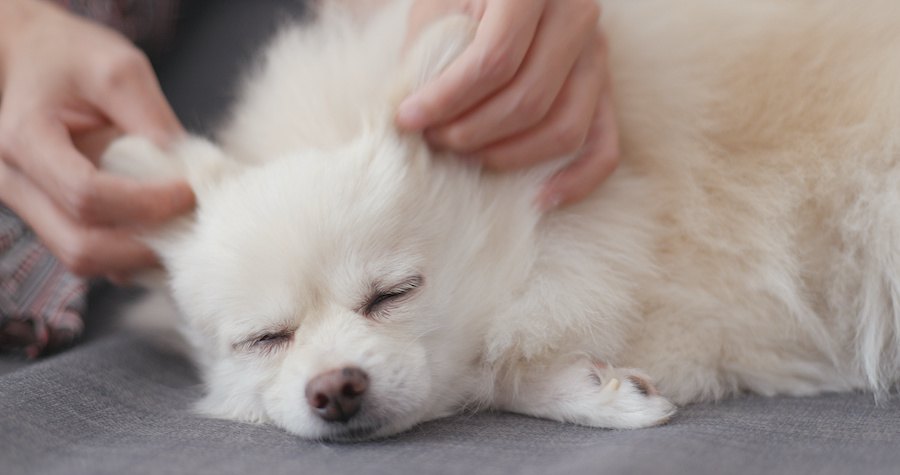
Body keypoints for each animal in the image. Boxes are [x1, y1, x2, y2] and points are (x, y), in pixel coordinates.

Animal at [105, 0, 900, 438]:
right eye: (264, 340)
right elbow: (493, 371)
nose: (335, 387)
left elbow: (497, 364)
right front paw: (597, 390)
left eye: (394, 293)